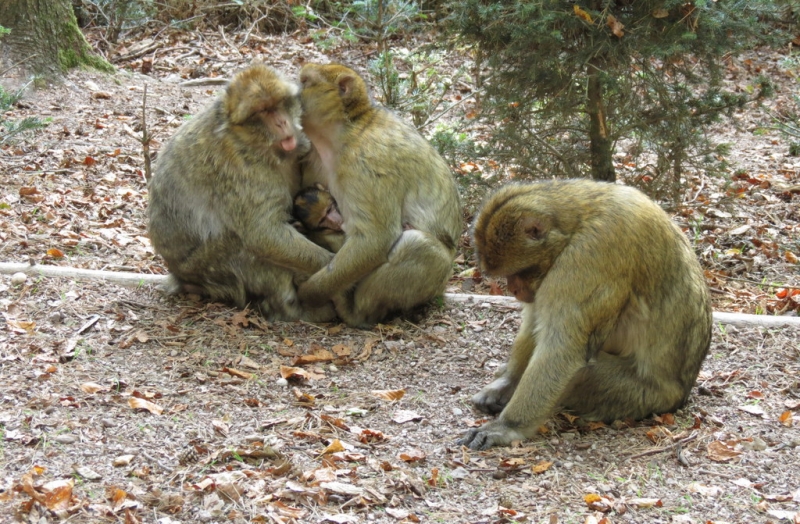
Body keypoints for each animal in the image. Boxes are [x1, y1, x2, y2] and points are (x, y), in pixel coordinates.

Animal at [148, 63, 336, 322]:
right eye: (263, 111)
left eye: (278, 105)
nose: (281, 123)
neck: (252, 144)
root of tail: (178, 275)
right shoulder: (243, 170)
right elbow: (262, 234)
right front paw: (331, 265)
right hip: (207, 270)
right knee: (240, 244)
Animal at [294, 62, 460, 328]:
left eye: (305, 81)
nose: (291, 89)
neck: (346, 133)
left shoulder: (367, 161)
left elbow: (375, 239)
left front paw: (310, 293)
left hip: (432, 284)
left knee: (418, 245)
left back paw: (355, 312)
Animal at [456, 180, 712, 450]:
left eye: (517, 272)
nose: (513, 289)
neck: (578, 220)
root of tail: (681, 395)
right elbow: (535, 321)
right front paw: (507, 383)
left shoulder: (588, 256)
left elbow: (563, 348)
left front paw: (507, 426)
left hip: (641, 395)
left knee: (582, 373)